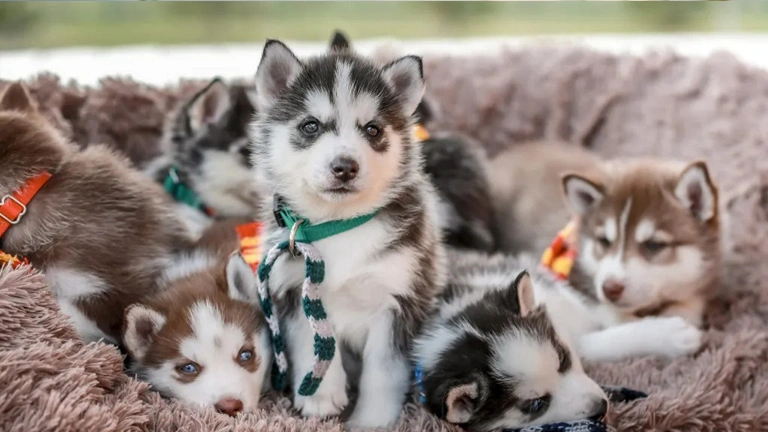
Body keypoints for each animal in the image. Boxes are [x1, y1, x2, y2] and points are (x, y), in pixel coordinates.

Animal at [249, 39, 448, 428]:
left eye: (372, 130)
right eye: (310, 126)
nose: (344, 167)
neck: (339, 225)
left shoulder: (398, 300)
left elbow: (383, 372)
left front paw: (372, 421)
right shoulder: (295, 289)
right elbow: (312, 345)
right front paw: (319, 398)